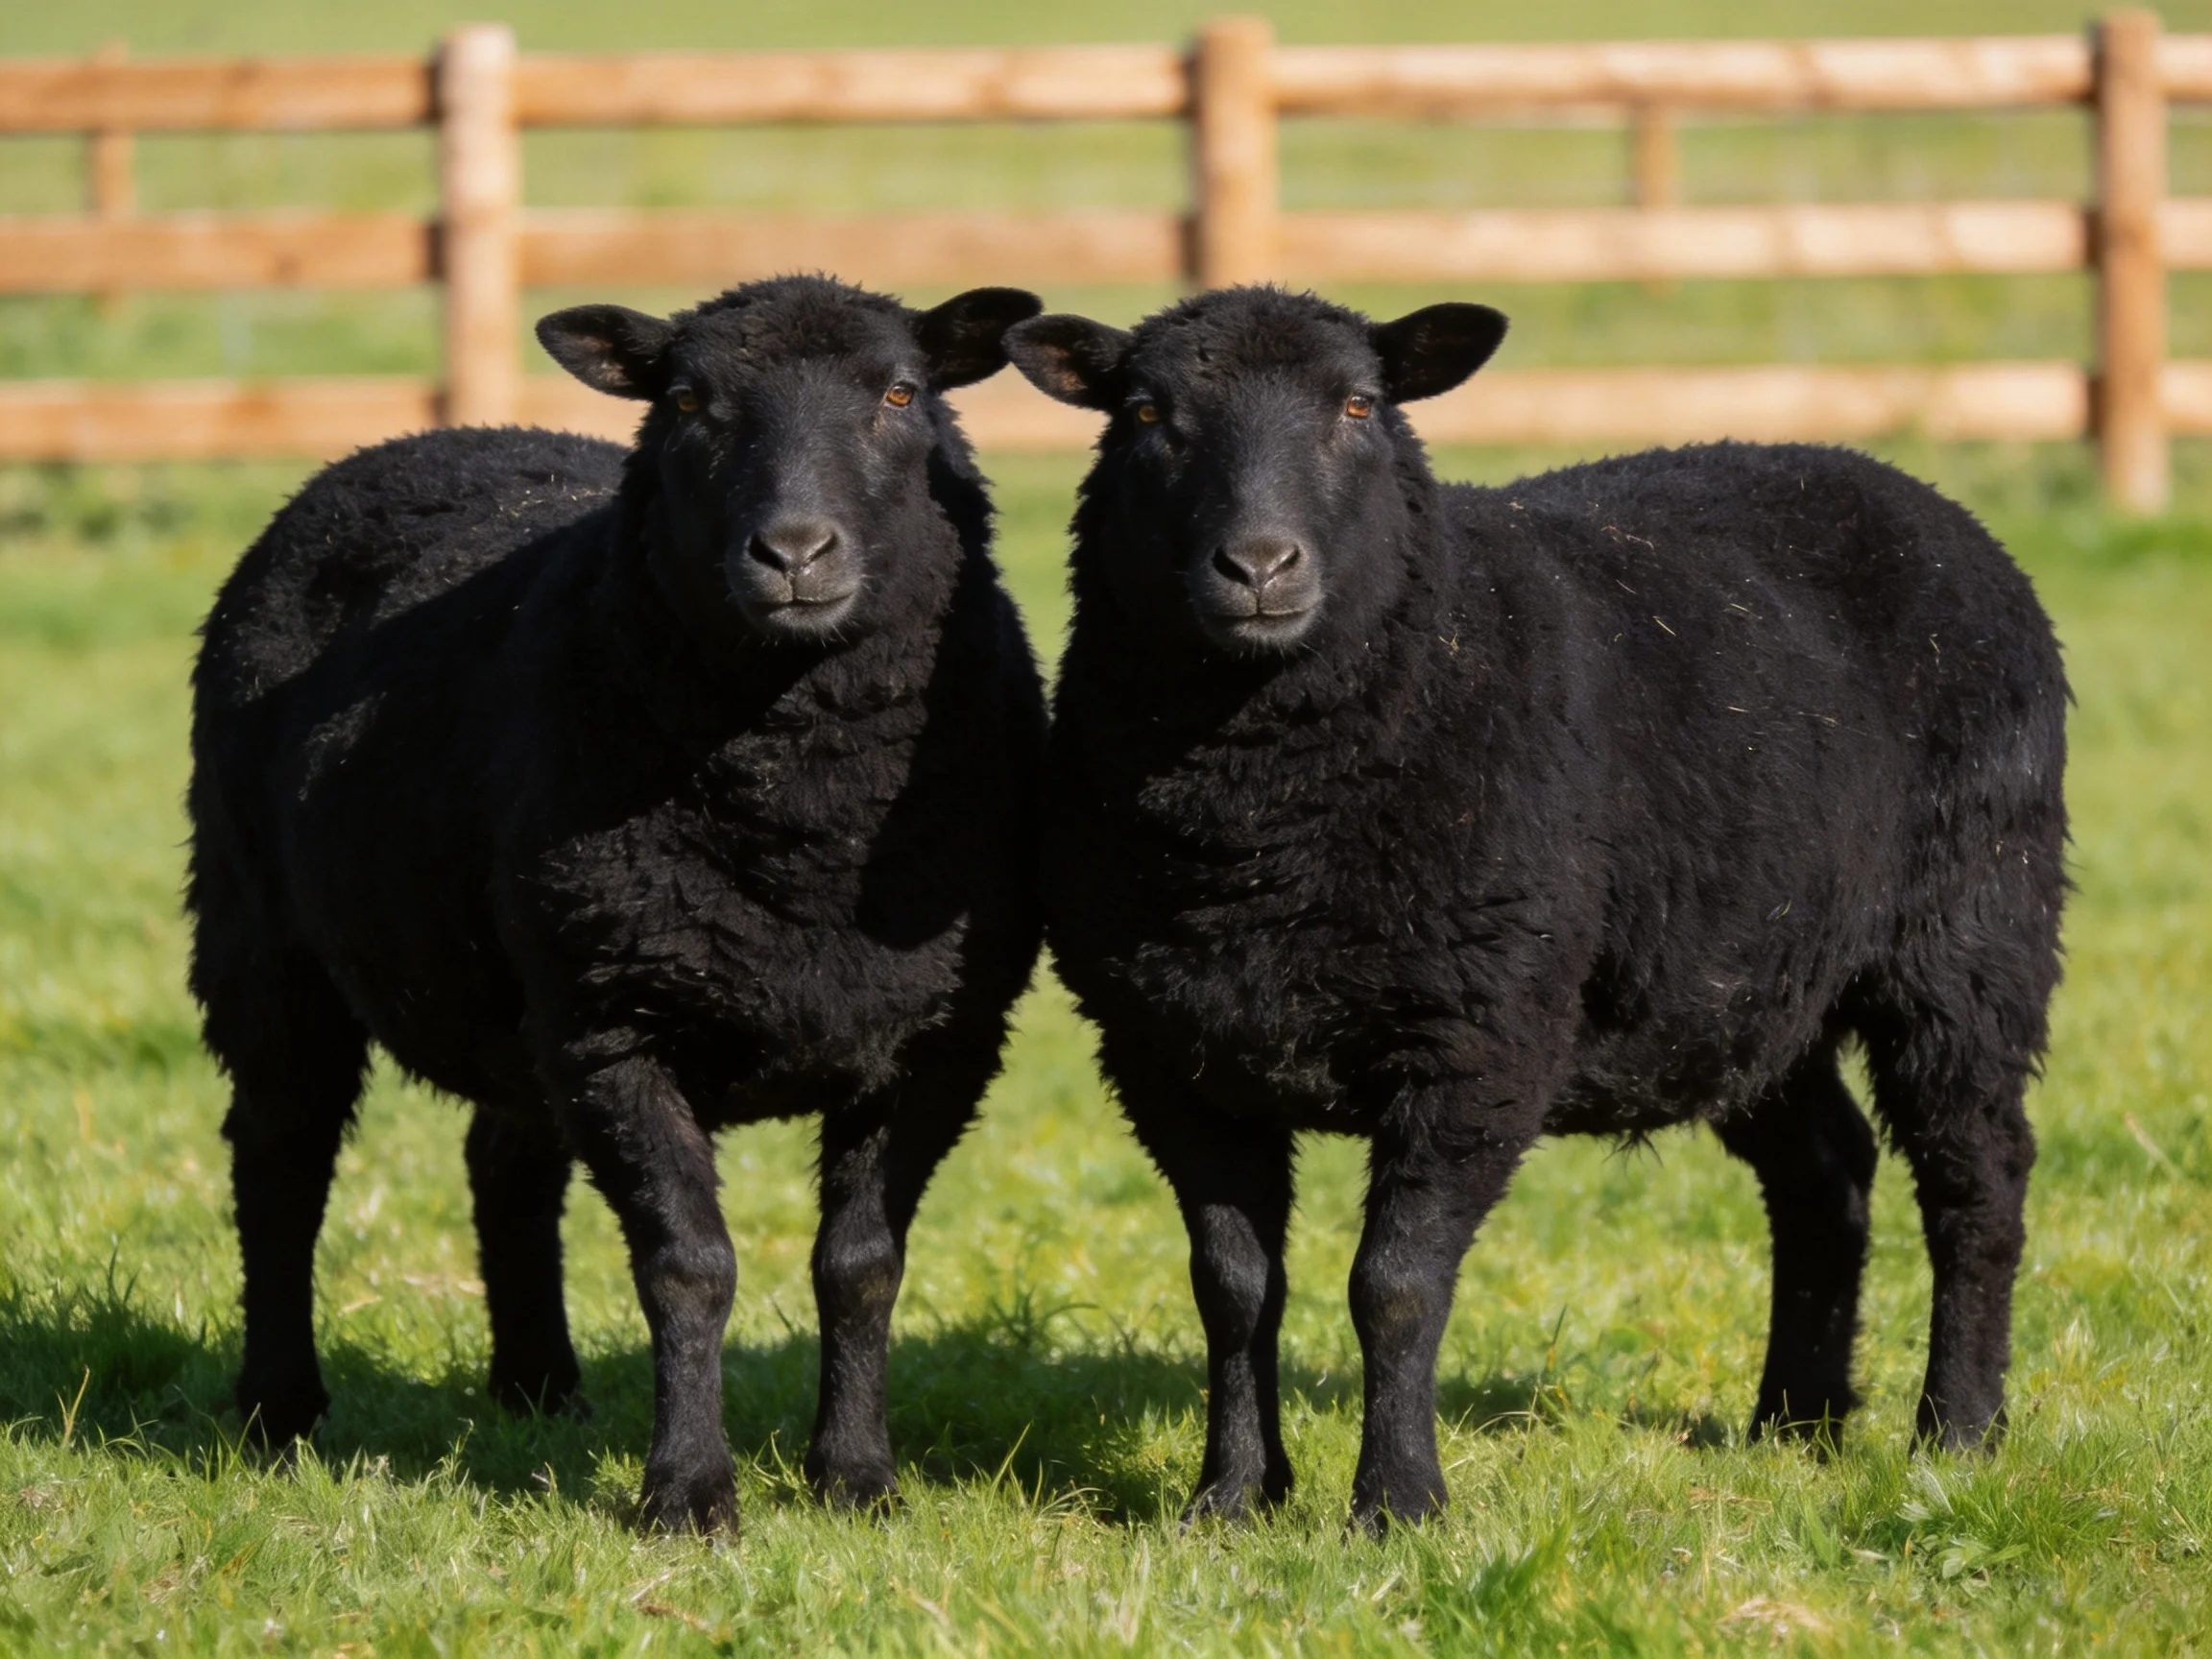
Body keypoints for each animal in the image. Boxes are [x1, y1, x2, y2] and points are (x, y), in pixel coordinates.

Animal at [186, 275, 1049, 1533]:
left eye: (901, 394)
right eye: (686, 401)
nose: (794, 551)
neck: (804, 825)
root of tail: (425, 438)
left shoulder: (938, 1037)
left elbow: (861, 1265)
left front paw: (854, 1479)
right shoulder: (616, 1027)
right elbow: (689, 1267)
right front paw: (687, 1495)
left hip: (520, 984)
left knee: (504, 1162)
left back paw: (539, 1389)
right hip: (266, 936)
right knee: (279, 1160)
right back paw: (276, 1409)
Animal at [1005, 285, 2068, 1529]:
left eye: (1358, 406)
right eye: (1144, 412)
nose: (1259, 566)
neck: (1257, 842)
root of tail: (1907, 488)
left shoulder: (1480, 1038)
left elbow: (1396, 1285)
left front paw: (1398, 1504)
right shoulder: (1172, 1053)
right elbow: (1232, 1285)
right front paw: (1232, 1497)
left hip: (1972, 928)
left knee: (1975, 1179)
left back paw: (1959, 1432)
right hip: (1740, 982)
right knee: (1826, 1172)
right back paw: (1794, 1425)